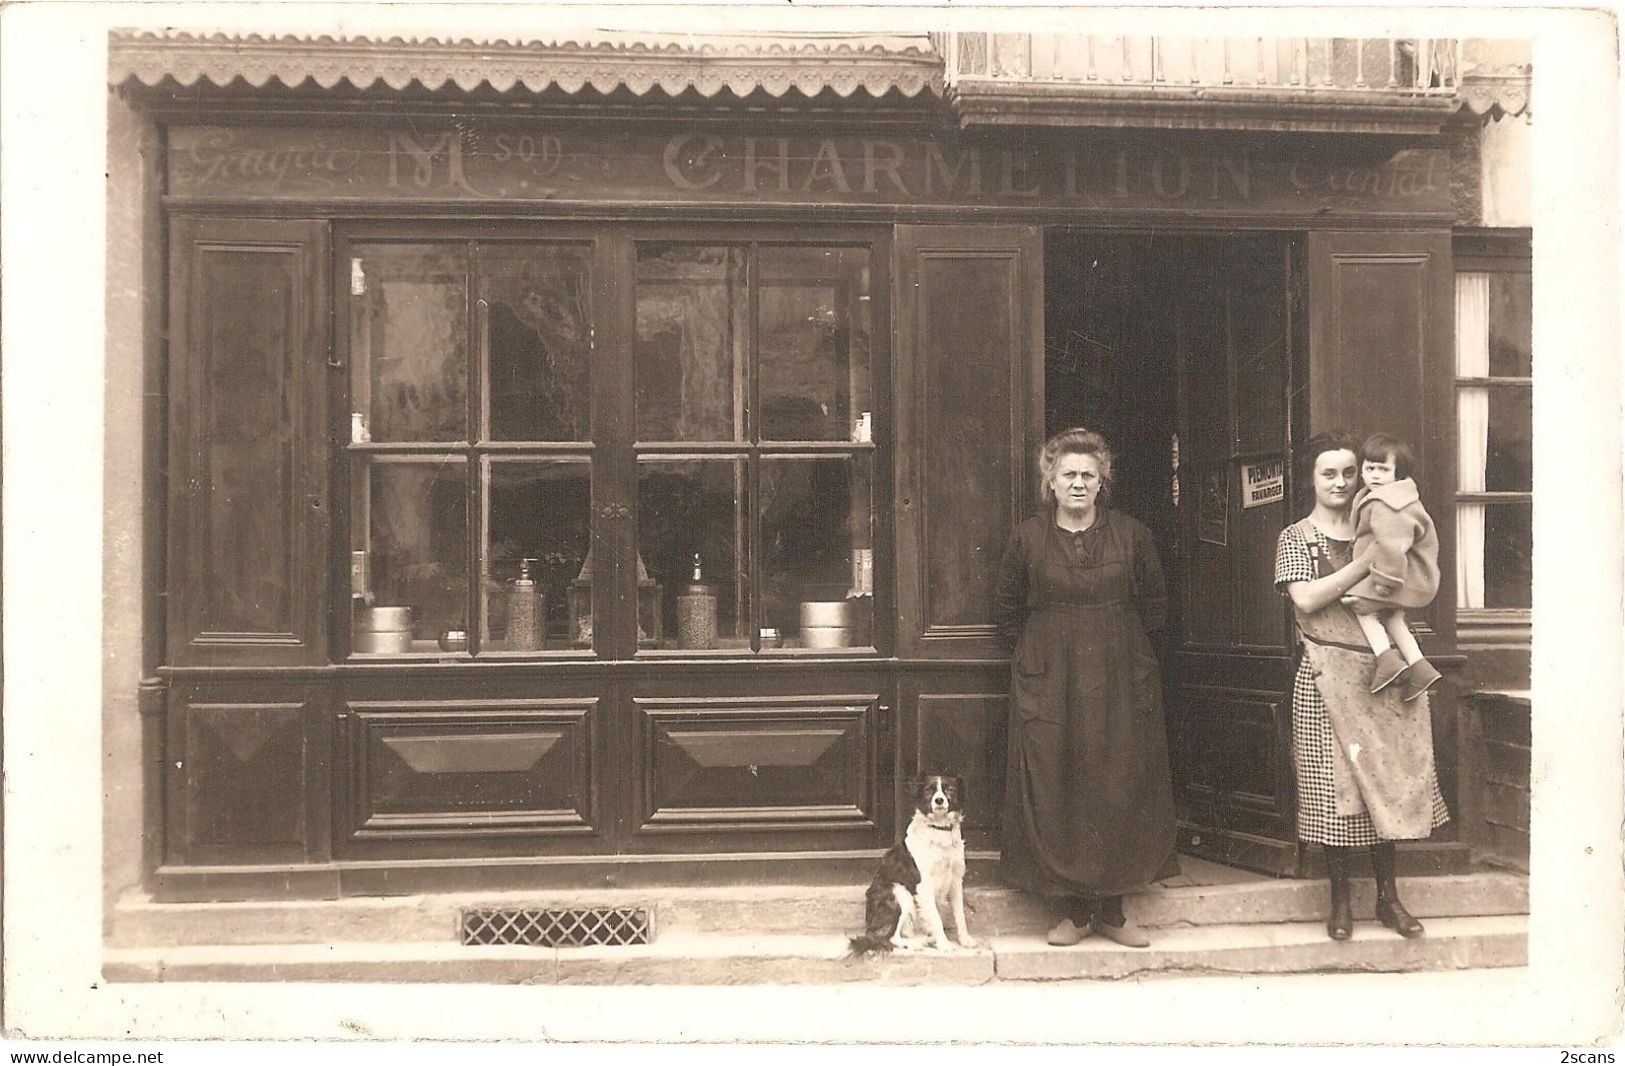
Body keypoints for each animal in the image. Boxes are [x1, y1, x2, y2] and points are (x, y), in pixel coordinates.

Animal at [845, 770, 968, 955]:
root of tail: (869, 928)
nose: (939, 800)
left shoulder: (955, 880)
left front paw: (966, 940)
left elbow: (960, 914)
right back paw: (918, 943)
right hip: (899, 894)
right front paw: (944, 944)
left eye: (950, 790)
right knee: (890, 938)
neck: (938, 829)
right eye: (928, 790)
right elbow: (936, 917)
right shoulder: (924, 885)